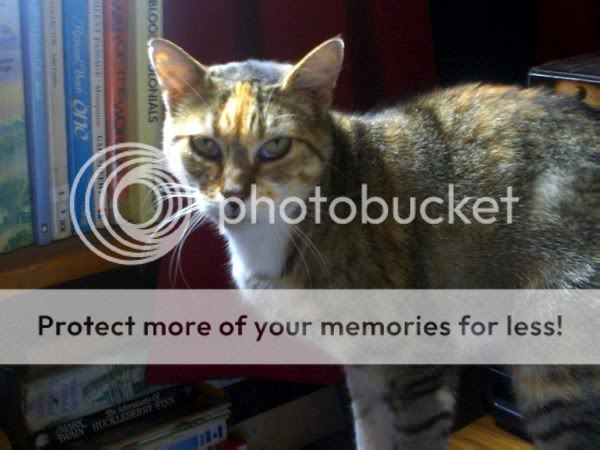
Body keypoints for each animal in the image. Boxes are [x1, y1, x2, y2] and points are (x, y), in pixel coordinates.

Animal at [149, 36, 599, 449]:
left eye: (276, 146)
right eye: (205, 145)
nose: (234, 195)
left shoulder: (417, 361)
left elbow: (417, 435)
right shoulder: (363, 364)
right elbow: (370, 430)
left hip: (555, 369)